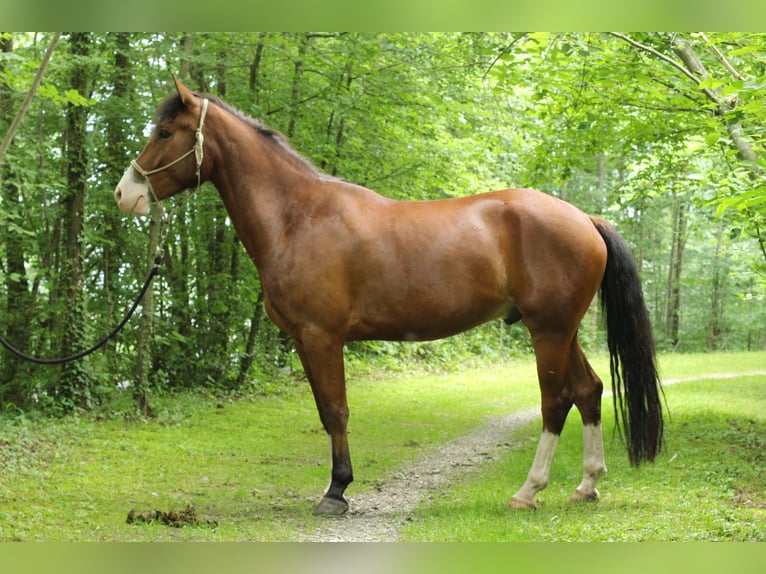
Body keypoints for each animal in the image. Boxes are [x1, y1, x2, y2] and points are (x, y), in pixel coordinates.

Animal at [115, 77, 664, 516]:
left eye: (165, 133)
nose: (125, 193)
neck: (297, 217)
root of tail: (585, 219)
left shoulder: (322, 336)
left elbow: (335, 410)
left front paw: (336, 492)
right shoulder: (304, 340)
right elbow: (327, 411)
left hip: (547, 330)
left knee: (556, 400)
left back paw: (528, 492)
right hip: (562, 330)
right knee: (589, 390)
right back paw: (586, 486)